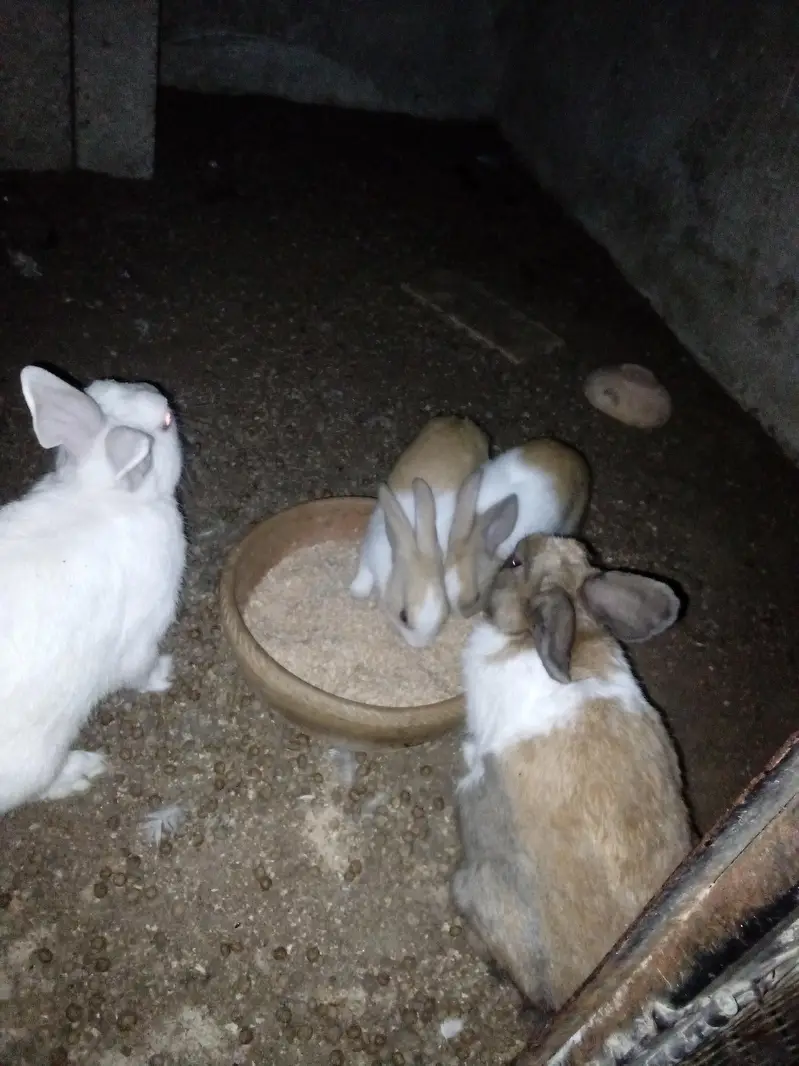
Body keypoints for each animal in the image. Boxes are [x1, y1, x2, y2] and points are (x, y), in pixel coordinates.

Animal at [0, 366, 186, 816]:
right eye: (165, 422)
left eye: (103, 389)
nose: (161, 395)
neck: (100, 495)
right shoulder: (141, 636)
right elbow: (139, 671)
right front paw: (164, 674)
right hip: (35, 759)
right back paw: (79, 772)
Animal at [350, 415, 489, 647]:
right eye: (403, 616)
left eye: (444, 616)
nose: (418, 646)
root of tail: (459, 421)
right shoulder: (369, 551)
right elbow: (364, 573)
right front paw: (356, 592)